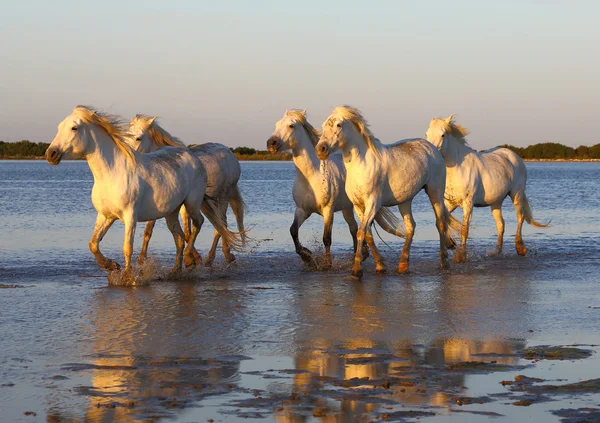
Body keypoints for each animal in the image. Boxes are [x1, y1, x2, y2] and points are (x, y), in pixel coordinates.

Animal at [45, 106, 218, 274]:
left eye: (74, 128)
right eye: (59, 127)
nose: (50, 154)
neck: (111, 174)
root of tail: (192, 156)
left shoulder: (130, 217)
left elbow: (127, 248)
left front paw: (127, 277)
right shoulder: (105, 216)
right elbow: (93, 244)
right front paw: (112, 266)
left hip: (191, 203)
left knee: (198, 223)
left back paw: (189, 258)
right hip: (171, 212)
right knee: (180, 238)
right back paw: (175, 270)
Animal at [129, 115, 246, 268]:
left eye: (138, 138)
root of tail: (230, 154)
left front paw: (191, 259)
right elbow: (181, 232)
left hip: (223, 196)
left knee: (222, 224)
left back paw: (215, 257)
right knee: (221, 225)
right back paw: (224, 256)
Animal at [266, 110, 398, 268]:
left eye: (291, 126)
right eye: (276, 125)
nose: (271, 143)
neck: (312, 176)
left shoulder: (328, 210)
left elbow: (326, 238)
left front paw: (327, 264)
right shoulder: (302, 210)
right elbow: (293, 231)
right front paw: (307, 256)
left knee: (361, 228)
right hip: (347, 208)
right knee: (354, 228)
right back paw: (360, 255)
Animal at [316, 106, 458, 278]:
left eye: (338, 125)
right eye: (323, 125)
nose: (321, 149)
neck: (361, 165)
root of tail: (432, 148)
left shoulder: (373, 204)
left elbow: (361, 232)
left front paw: (356, 270)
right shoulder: (358, 206)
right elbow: (367, 234)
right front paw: (380, 266)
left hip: (435, 192)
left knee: (440, 223)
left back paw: (444, 262)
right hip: (405, 200)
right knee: (411, 226)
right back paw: (402, 265)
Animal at [424, 116, 548, 262]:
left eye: (443, 134)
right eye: (427, 134)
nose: (431, 153)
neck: (458, 168)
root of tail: (514, 156)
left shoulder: (468, 203)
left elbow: (465, 229)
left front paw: (461, 256)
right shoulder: (450, 203)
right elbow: (443, 219)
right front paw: (450, 244)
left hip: (516, 194)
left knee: (520, 216)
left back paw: (520, 248)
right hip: (496, 202)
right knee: (501, 225)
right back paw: (497, 252)